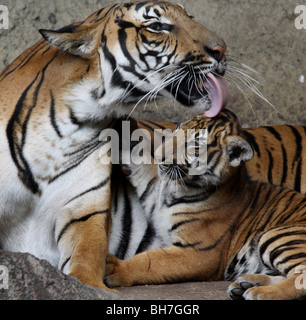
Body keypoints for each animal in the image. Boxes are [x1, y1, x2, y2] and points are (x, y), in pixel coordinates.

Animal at [106, 110, 306, 300]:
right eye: (177, 129)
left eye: (193, 146)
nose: (160, 156)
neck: (174, 188)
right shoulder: (154, 194)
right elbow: (139, 159)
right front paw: (124, 124)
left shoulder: (198, 252)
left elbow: (150, 262)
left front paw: (114, 268)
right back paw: (245, 284)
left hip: (280, 235)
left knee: (300, 276)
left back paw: (259, 292)